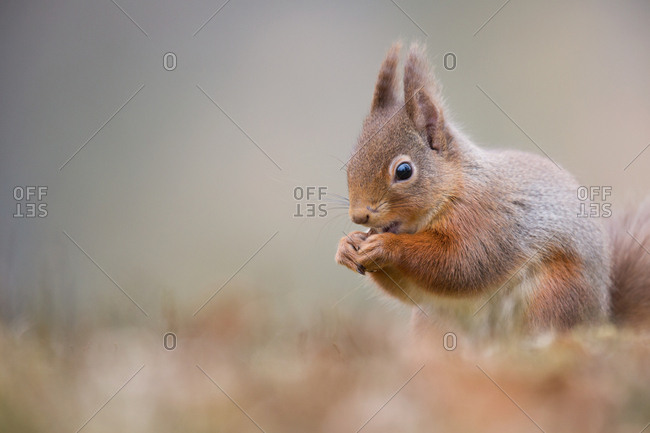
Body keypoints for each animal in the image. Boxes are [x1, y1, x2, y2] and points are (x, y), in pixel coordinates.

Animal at [335, 42, 650, 337]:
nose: (359, 216)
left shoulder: (485, 222)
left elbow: (460, 264)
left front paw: (386, 246)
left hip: (557, 295)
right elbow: (412, 290)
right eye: (349, 162)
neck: (454, 189)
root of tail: (601, 316)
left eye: (403, 171)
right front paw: (347, 247)